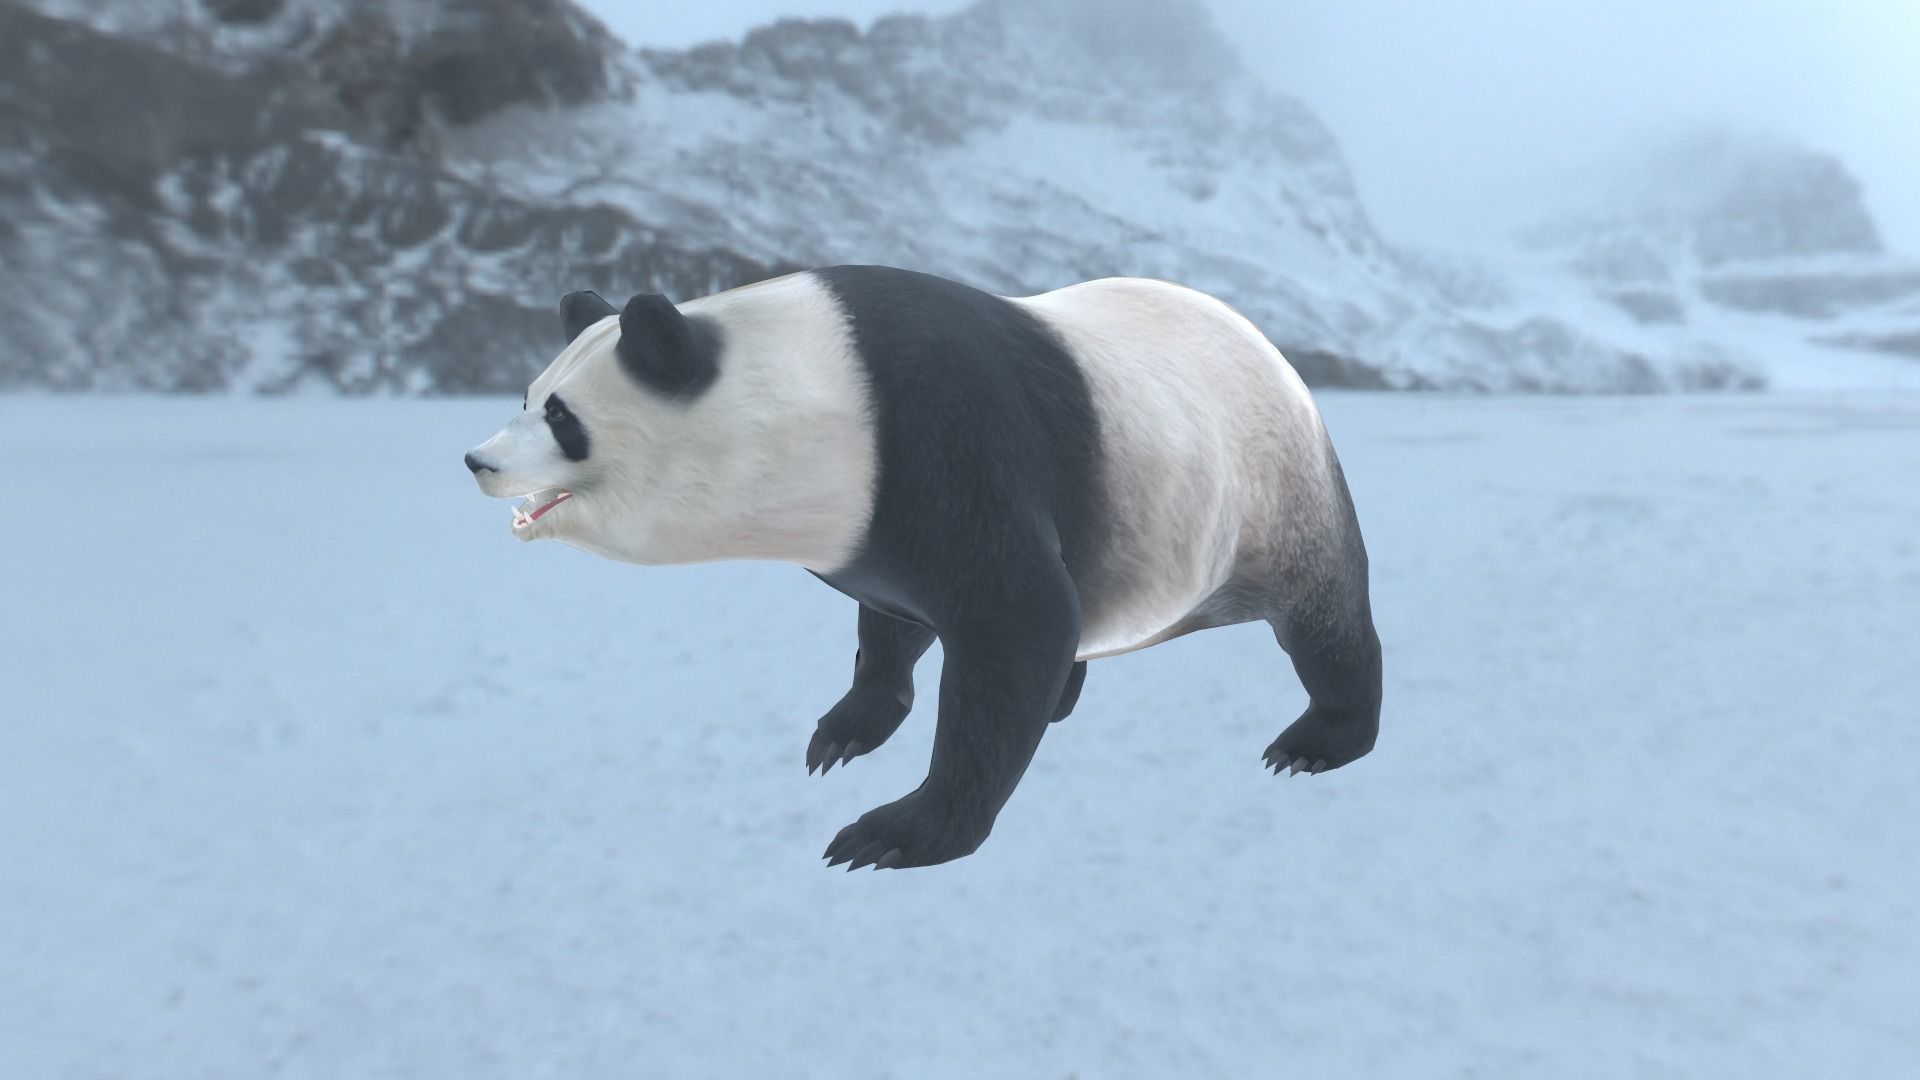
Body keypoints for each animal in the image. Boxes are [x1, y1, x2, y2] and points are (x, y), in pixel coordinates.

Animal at [465, 266, 1382, 870]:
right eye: (526, 395)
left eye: (563, 418)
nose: (478, 462)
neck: (819, 386)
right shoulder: (872, 531)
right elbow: (894, 630)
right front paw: (845, 731)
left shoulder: (947, 442)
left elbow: (1013, 624)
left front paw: (896, 832)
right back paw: (1065, 697)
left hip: (1267, 487)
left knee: (1324, 615)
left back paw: (1318, 740)